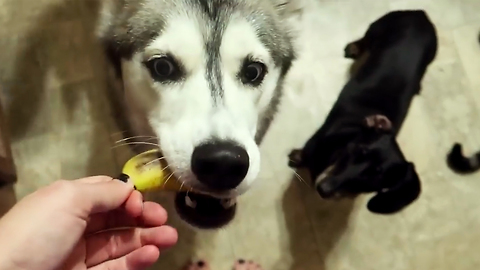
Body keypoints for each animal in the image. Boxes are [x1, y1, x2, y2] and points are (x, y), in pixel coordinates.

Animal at [288, 9, 438, 214]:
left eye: (373, 182)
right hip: (377, 28)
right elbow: (304, 154)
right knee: (365, 40)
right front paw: (296, 157)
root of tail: (421, 14)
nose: (323, 189)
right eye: (357, 150)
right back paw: (355, 48)